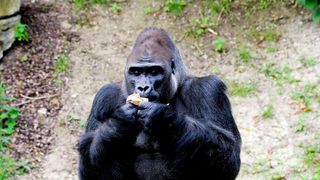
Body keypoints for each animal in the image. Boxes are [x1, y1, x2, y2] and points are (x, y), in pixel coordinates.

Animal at [79, 27, 241, 179]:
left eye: (154, 71)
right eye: (136, 72)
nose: (143, 87)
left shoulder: (208, 90)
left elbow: (229, 158)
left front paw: (163, 117)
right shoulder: (104, 97)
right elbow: (89, 168)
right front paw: (117, 123)